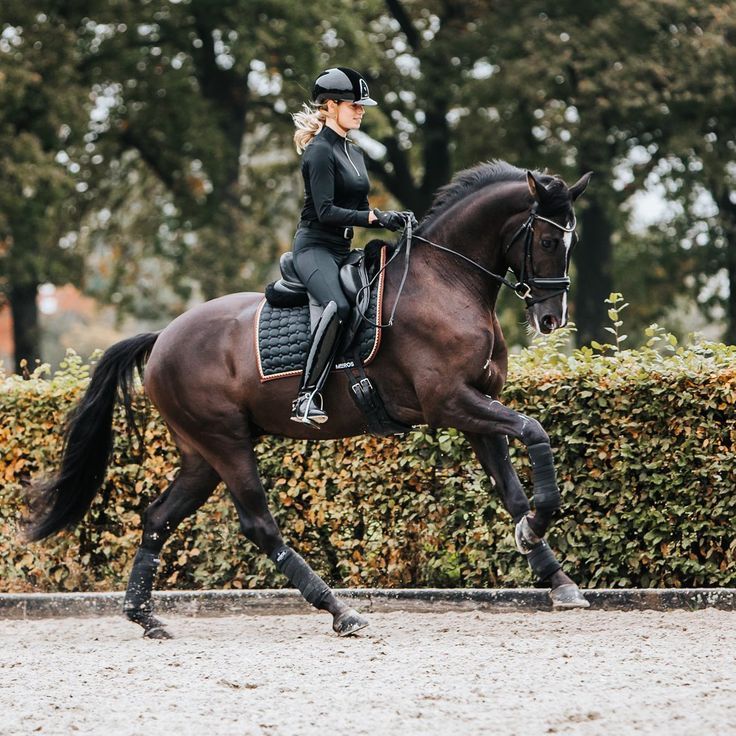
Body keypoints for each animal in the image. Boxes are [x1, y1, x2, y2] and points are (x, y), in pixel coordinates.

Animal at [25, 161, 592, 640]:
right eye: (546, 238)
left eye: (571, 242)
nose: (551, 319)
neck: (445, 281)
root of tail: (163, 337)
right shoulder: (450, 402)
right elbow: (535, 431)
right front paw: (538, 528)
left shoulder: (477, 409)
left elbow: (512, 489)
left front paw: (551, 569)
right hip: (225, 441)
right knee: (258, 524)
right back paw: (339, 610)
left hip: (200, 454)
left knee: (157, 517)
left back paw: (144, 616)